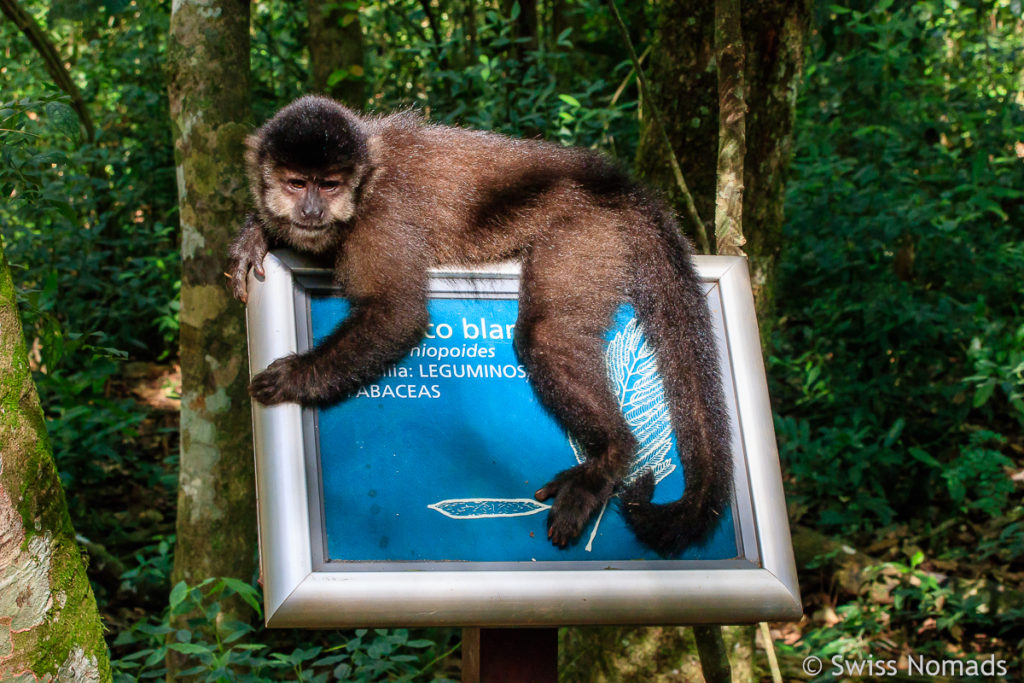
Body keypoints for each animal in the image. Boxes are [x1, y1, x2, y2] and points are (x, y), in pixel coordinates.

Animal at [228, 94, 733, 557]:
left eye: (330, 185)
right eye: (297, 184)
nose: (312, 211)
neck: (366, 185)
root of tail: (617, 184)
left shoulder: (379, 218)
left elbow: (397, 314)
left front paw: (296, 376)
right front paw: (258, 232)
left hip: (589, 230)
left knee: (545, 335)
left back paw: (609, 455)